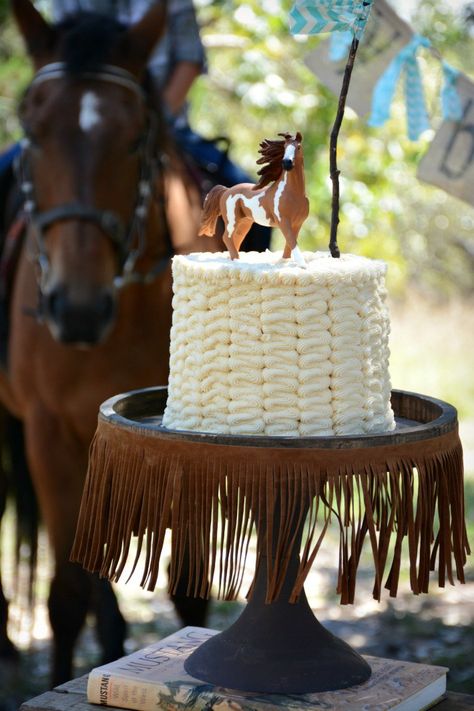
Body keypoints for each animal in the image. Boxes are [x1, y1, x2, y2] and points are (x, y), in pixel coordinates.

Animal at [0, 0, 211, 688]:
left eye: (134, 137)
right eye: (34, 131)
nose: (76, 308)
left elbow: (189, 591)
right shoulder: (48, 436)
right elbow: (66, 595)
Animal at [198, 132, 310, 266]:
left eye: (298, 147)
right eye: (284, 148)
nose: (287, 163)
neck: (293, 194)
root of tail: (226, 190)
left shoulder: (297, 223)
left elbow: (289, 243)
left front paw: (284, 261)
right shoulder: (283, 222)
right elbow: (292, 241)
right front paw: (303, 265)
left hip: (244, 222)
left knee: (237, 237)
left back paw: (231, 258)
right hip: (232, 220)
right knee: (227, 237)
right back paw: (236, 260)